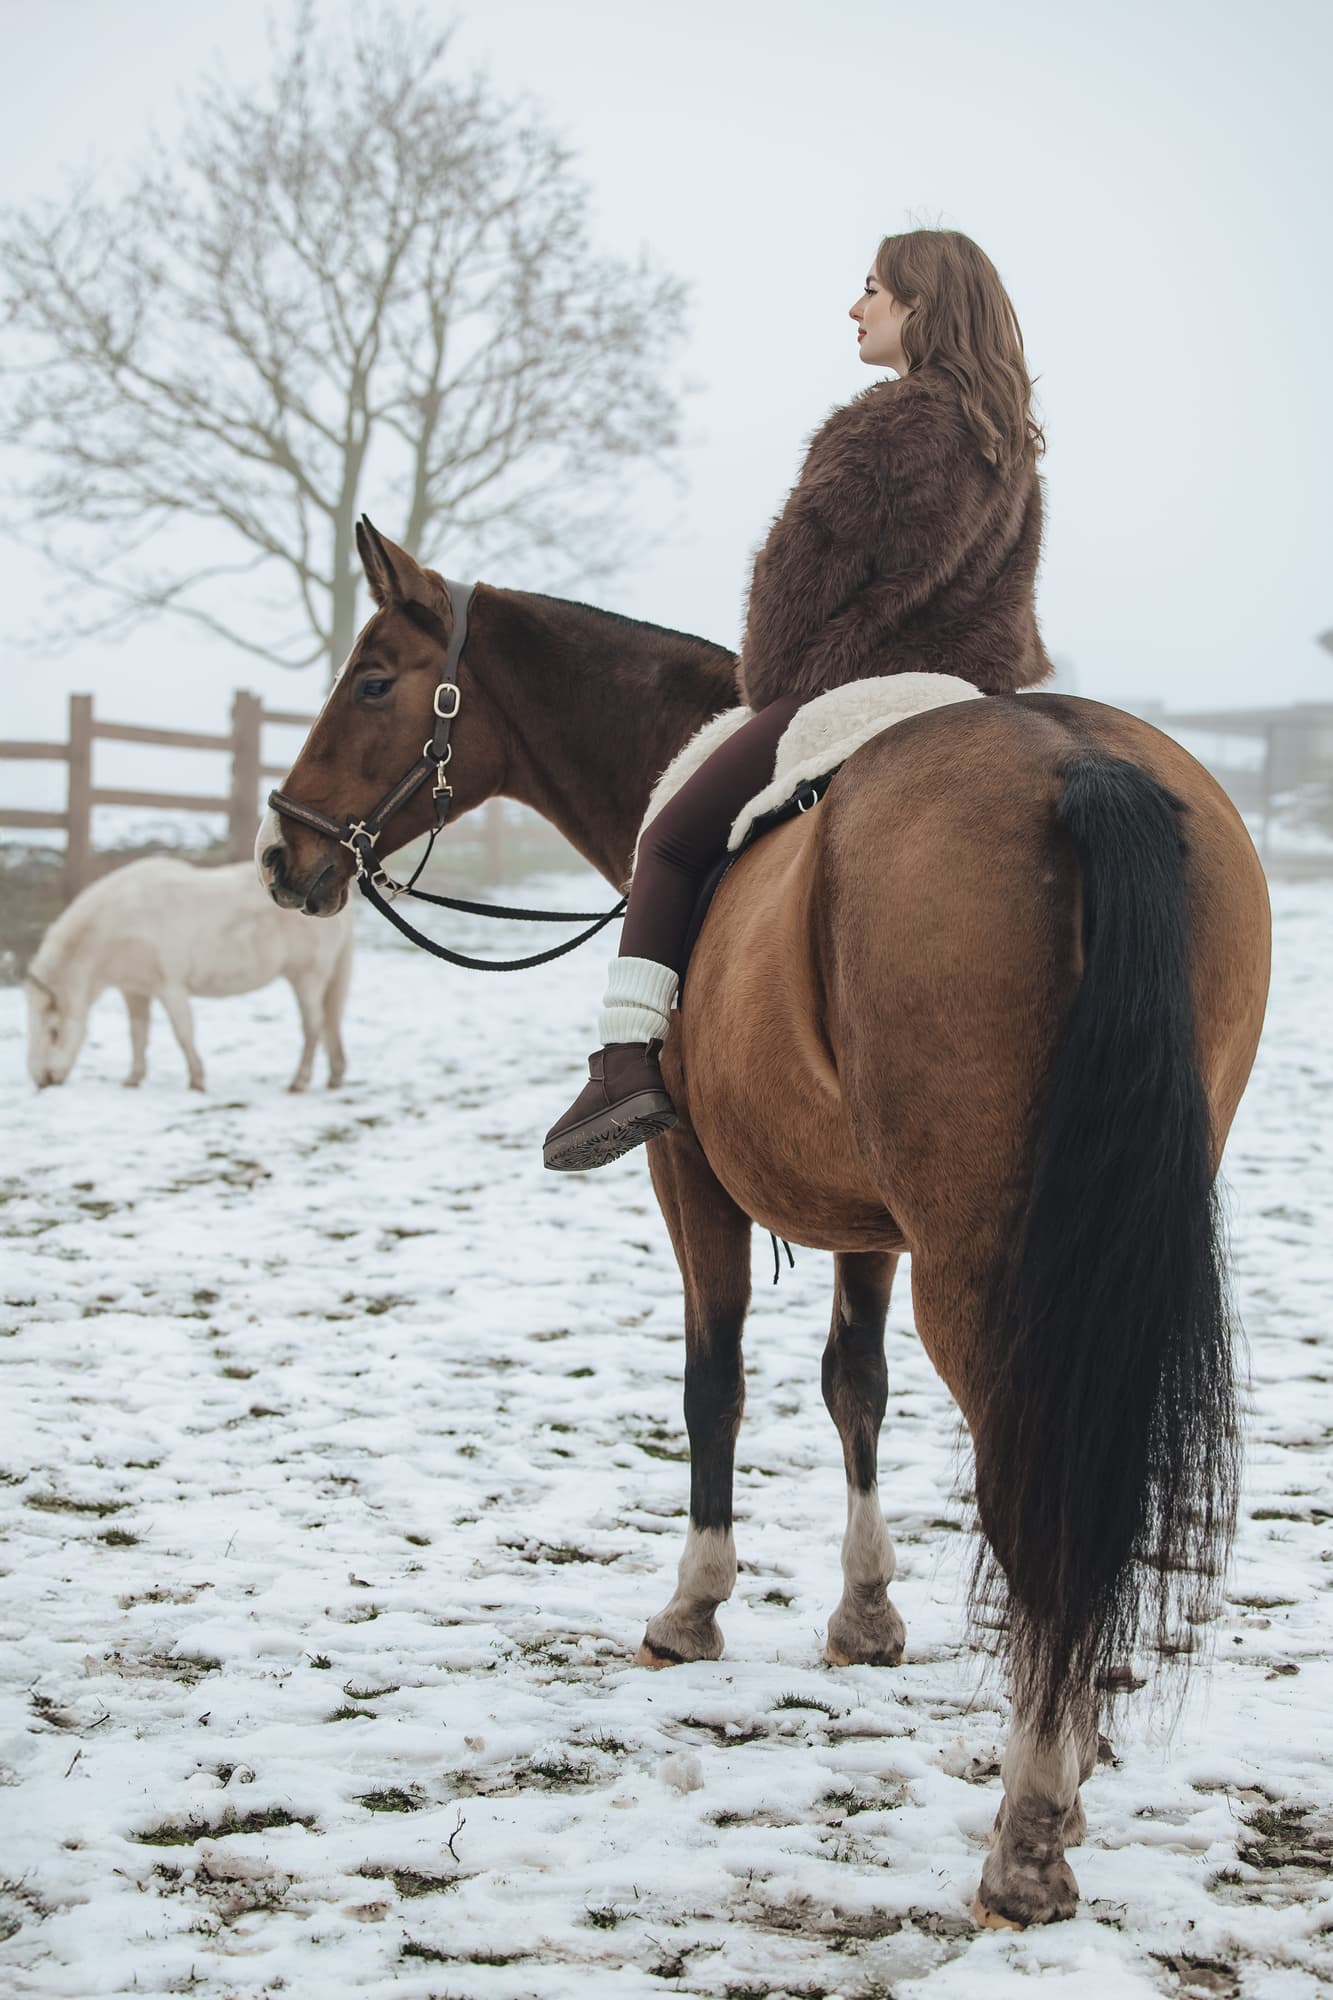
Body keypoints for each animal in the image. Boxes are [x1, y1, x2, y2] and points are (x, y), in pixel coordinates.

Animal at [27, 856, 355, 1093]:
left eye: (53, 1031)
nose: (43, 1079)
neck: (119, 923)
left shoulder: (170, 987)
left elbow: (183, 1033)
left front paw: (197, 1080)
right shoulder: (135, 990)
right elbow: (138, 1034)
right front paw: (133, 1078)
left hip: (307, 978)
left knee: (313, 1027)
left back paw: (299, 1082)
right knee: (328, 1025)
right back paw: (335, 1077)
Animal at [256, 522, 1270, 1927]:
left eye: (370, 680)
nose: (281, 854)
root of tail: (1085, 767)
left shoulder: (689, 1176)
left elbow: (714, 1382)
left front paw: (693, 1604)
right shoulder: (863, 1214)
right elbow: (855, 1385)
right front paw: (865, 1612)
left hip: (984, 1266)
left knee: (1035, 1485)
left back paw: (1029, 1818)